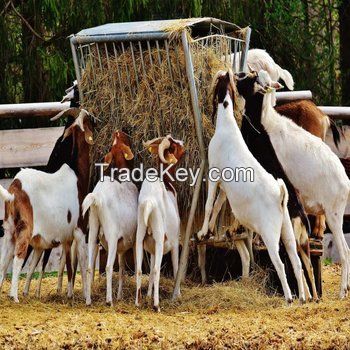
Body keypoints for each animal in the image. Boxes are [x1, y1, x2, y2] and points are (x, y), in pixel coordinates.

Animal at [82, 131, 137, 306]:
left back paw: (88, 299)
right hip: (111, 235)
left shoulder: (122, 243)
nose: (118, 131)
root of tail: (97, 197)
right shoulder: (134, 240)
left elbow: (122, 268)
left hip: (93, 232)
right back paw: (108, 300)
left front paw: (120, 295)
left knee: (89, 266)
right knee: (107, 266)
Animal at [135, 135, 186, 312]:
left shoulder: (150, 248)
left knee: (140, 269)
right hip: (158, 237)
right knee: (157, 270)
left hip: (140, 237)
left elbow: (149, 271)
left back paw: (138, 302)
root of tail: (149, 202)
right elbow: (176, 267)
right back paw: (156, 305)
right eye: (175, 145)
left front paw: (148, 295)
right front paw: (177, 295)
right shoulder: (174, 242)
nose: (183, 143)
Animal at [197, 70, 306, 304]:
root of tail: (280, 195)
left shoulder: (214, 175)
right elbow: (218, 205)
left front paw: (202, 232)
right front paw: (210, 231)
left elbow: (209, 204)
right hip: (287, 230)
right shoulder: (225, 187)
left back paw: (288, 297)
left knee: (280, 263)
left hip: (270, 233)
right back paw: (302, 297)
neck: (227, 124)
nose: (232, 73)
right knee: (296, 261)